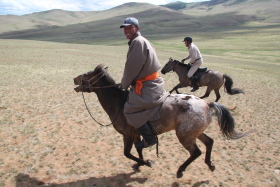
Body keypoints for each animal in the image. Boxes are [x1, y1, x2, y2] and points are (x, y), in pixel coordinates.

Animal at [73, 64, 250, 178]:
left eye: (87, 75)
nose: (75, 79)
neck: (118, 102)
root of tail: (207, 103)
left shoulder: (127, 134)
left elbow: (127, 153)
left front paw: (146, 163)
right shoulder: (137, 135)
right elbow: (139, 150)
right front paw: (141, 163)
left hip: (185, 136)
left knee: (195, 152)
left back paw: (180, 171)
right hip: (194, 132)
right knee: (209, 142)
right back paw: (210, 164)